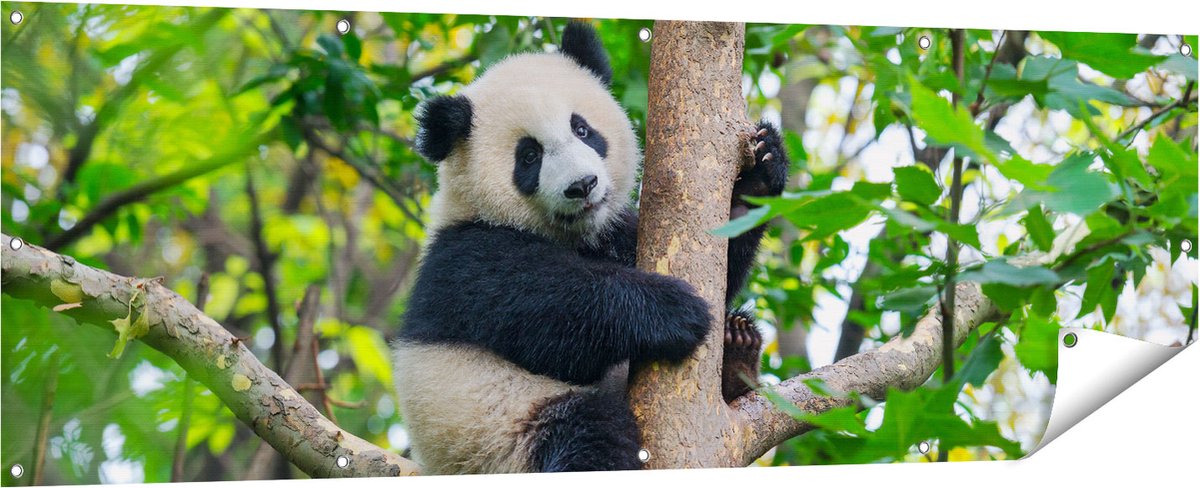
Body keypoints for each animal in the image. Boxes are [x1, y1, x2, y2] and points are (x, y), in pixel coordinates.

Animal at [392, 21, 789, 474]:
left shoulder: (617, 233)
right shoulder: (467, 256)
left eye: (581, 129)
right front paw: (672, 309)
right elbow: (549, 312)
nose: (583, 185)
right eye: (529, 156)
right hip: (502, 428)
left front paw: (761, 173)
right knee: (587, 433)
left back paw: (737, 348)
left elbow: (724, 264)